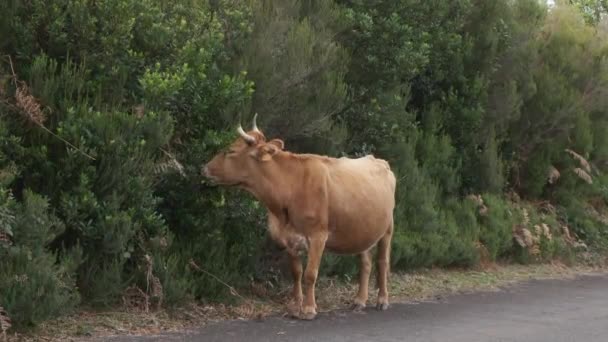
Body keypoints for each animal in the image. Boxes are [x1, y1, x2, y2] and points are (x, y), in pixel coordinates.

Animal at [202, 115, 396, 320]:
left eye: (231, 150)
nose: (204, 169)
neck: (290, 186)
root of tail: (377, 160)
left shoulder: (318, 235)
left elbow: (310, 274)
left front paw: (309, 309)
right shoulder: (289, 237)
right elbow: (296, 273)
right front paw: (296, 306)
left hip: (387, 228)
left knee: (382, 262)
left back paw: (382, 300)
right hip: (363, 229)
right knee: (365, 263)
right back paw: (359, 300)